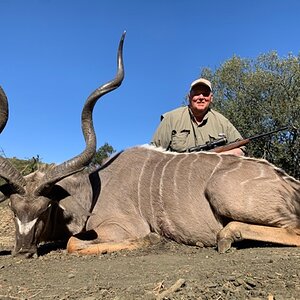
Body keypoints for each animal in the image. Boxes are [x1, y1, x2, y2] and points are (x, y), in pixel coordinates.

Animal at [0, 33, 300, 258]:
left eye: (44, 208)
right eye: (14, 209)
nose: (22, 252)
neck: (92, 190)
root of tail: (291, 185)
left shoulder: (122, 227)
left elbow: (74, 243)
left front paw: (154, 240)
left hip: (221, 193)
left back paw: (226, 236)